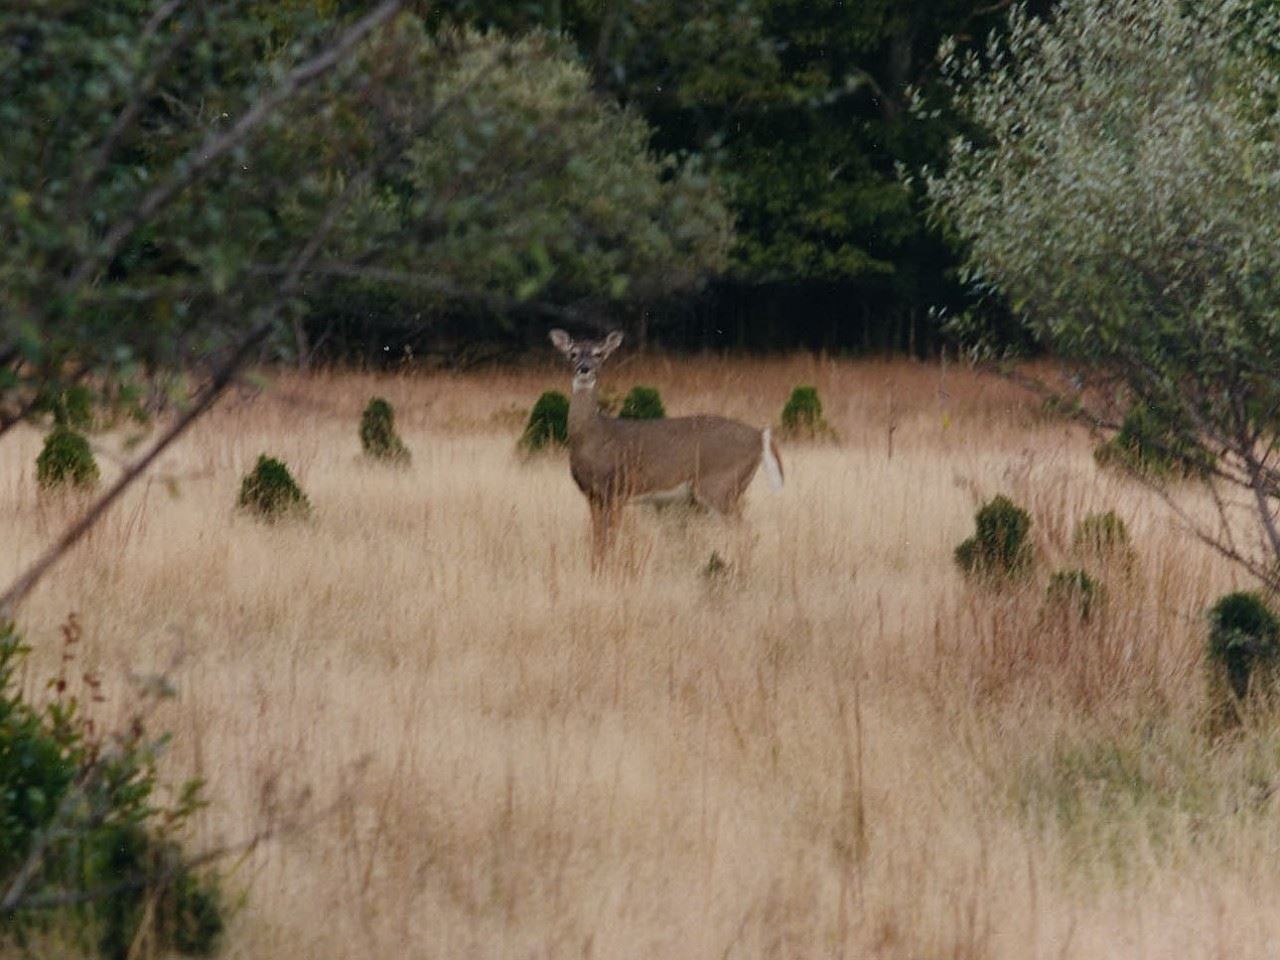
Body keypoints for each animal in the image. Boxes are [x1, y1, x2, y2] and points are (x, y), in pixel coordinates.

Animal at [548, 328, 784, 562]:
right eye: (573, 353)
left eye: (599, 354)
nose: (584, 368)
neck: (593, 437)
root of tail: (759, 436)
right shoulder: (592, 494)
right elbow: (598, 540)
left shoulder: (617, 489)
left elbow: (609, 539)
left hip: (719, 485)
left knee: (746, 532)